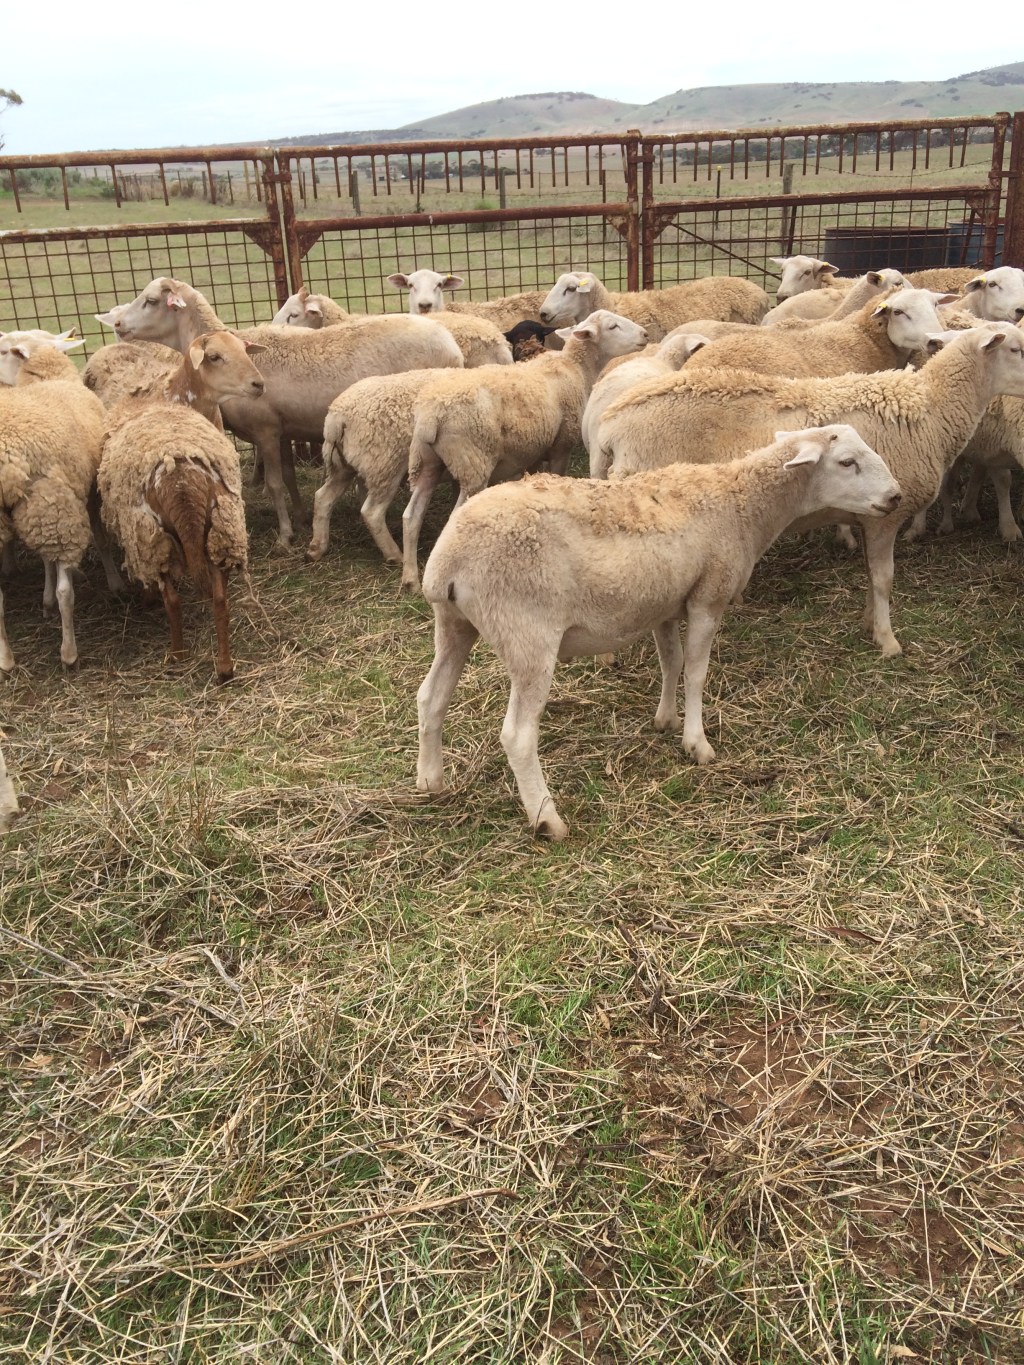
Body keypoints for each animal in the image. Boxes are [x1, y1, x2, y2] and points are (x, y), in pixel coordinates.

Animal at [97, 336, 267, 682]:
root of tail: (181, 481)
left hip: (157, 538)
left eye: (244, 349)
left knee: (173, 600)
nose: (259, 384)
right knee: (219, 600)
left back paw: (177, 654)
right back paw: (225, 667)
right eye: (214, 356)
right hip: (219, 527)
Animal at [109, 278, 464, 546]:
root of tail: (452, 345)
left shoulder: (265, 431)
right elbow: (290, 478)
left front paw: (285, 536)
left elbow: (275, 484)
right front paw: (301, 517)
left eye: (150, 300)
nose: (118, 324)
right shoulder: (281, 431)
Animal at [401, 309, 649, 591]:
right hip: (473, 463)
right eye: (612, 326)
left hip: (426, 462)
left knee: (411, 516)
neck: (576, 368)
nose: (645, 335)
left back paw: (410, 578)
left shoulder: (534, 449)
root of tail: (431, 416)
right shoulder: (561, 445)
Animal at [416, 426, 902, 840]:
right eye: (846, 462)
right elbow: (697, 671)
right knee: (517, 735)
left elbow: (671, 661)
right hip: (527, 634)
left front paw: (666, 720)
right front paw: (697, 743)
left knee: (430, 697)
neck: (741, 504)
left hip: (454, 625)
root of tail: (448, 561)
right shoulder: (708, 596)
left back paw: (430, 781)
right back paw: (546, 819)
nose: (896, 496)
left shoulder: (666, 604)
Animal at [599, 324, 1024, 657]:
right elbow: (884, 579)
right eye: (1016, 348)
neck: (931, 409)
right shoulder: (887, 515)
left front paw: (869, 623)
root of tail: (613, 421)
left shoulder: (871, 514)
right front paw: (887, 641)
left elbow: (870, 574)